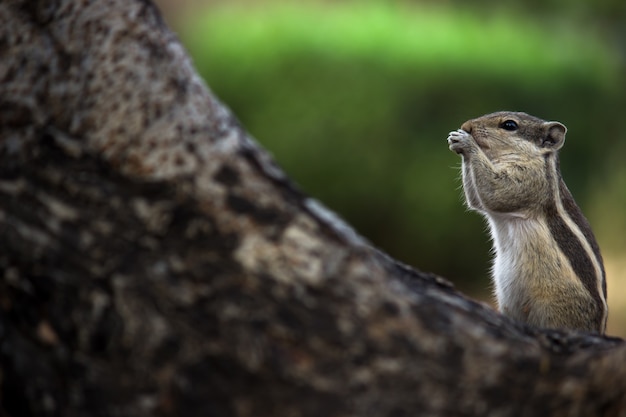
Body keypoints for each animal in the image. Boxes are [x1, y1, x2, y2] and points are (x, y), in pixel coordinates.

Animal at [446, 109, 608, 332]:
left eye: (509, 125)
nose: (467, 126)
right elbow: (477, 200)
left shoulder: (528, 179)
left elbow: (496, 193)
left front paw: (466, 142)